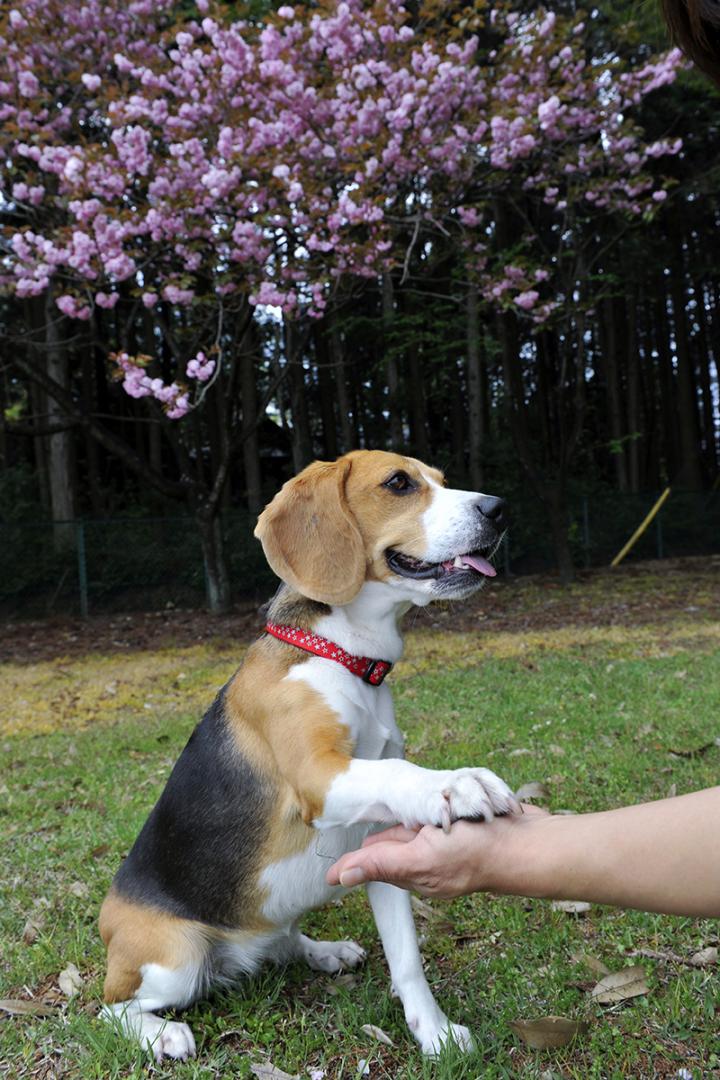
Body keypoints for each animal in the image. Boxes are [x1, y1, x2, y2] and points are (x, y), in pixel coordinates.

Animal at [98, 449, 515, 1062]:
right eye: (398, 483)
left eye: (440, 479)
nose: (498, 507)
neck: (343, 655)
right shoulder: (321, 775)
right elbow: (398, 770)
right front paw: (456, 783)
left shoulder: (378, 842)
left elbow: (408, 962)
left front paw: (434, 1033)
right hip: (176, 959)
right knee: (110, 1009)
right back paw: (162, 1033)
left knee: (282, 940)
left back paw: (323, 950)